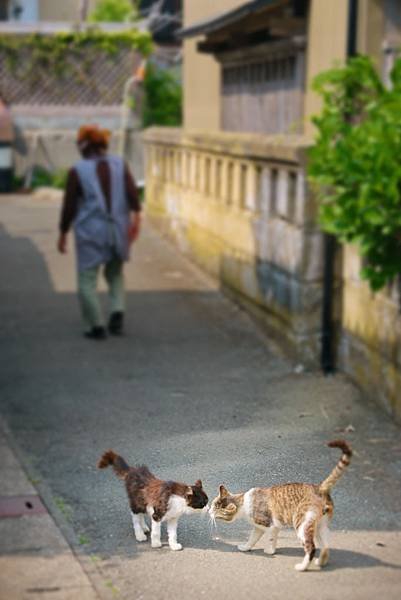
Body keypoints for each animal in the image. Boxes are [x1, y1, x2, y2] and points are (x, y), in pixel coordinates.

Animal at [208, 440, 352, 572]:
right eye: (213, 504)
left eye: (216, 510)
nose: (209, 510)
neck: (243, 502)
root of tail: (320, 487)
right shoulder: (262, 527)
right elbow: (252, 539)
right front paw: (246, 547)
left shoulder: (269, 525)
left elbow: (270, 539)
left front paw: (269, 551)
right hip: (320, 526)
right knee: (326, 545)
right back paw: (321, 562)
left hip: (302, 524)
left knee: (311, 548)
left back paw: (302, 567)